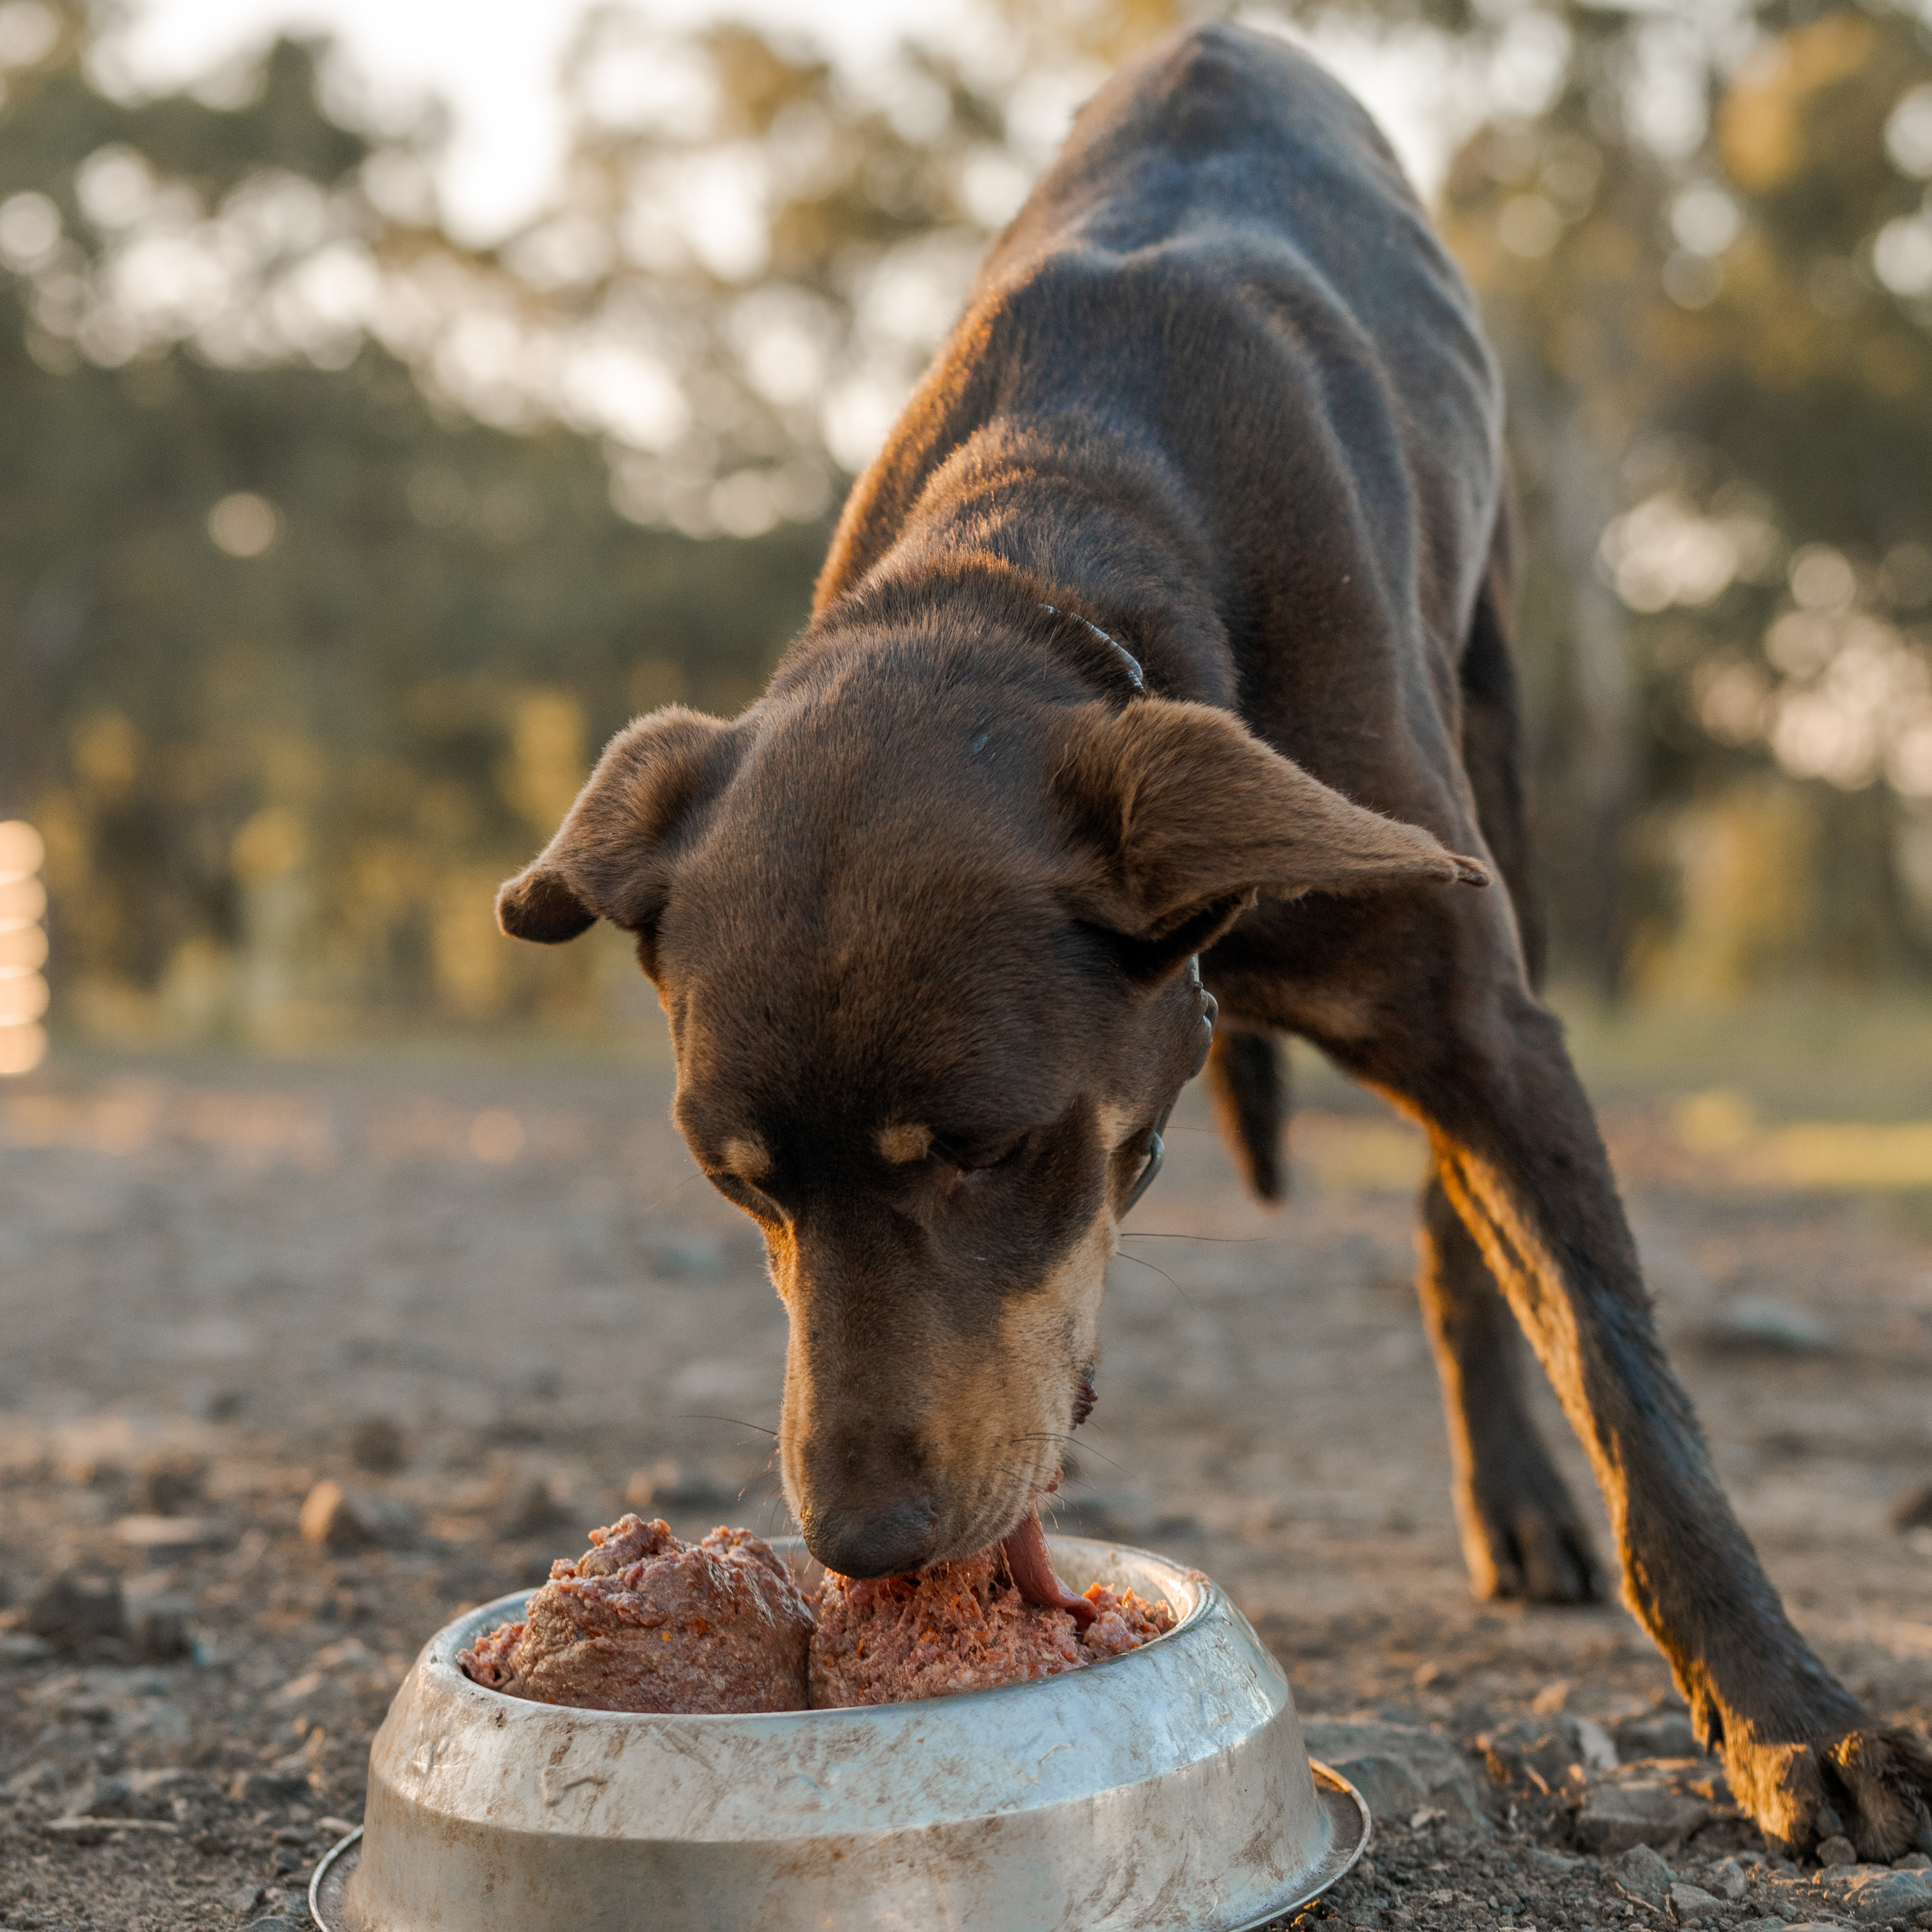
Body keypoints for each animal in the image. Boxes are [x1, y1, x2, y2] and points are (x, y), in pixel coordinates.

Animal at [502, 18, 1932, 1855]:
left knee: (1455, 1226)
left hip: (1505, 767)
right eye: (734, 1182)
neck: (1040, 554)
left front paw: (1787, 1714)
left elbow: (1628, 1385)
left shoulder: (1485, 1024)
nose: (860, 1544)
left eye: (983, 1147)